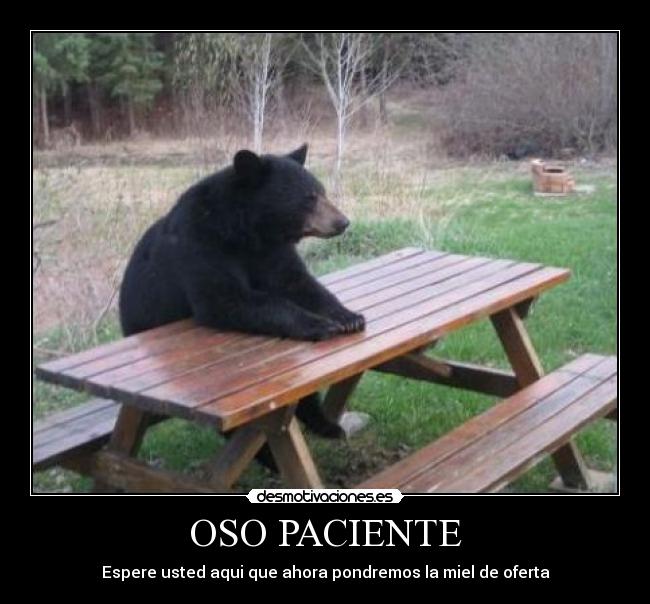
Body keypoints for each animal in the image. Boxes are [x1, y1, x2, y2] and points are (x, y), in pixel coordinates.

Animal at [118, 144, 366, 452]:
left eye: (321, 191)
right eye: (308, 198)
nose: (343, 222)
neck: (248, 232)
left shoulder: (272, 252)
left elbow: (299, 283)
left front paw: (349, 317)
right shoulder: (200, 244)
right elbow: (227, 299)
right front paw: (320, 324)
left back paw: (327, 425)